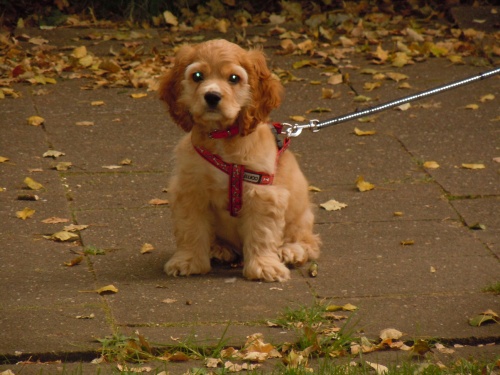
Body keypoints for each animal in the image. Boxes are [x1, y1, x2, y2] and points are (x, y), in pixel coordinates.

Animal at [160, 40, 318, 282]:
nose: (212, 96)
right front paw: (188, 261)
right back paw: (218, 248)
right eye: (197, 76)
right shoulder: (189, 189)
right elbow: (190, 228)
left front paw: (263, 266)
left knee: (309, 242)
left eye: (234, 78)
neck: (221, 138)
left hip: (301, 217)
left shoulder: (262, 193)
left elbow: (261, 233)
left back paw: (290, 251)